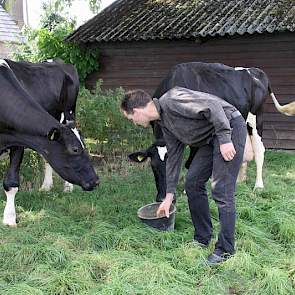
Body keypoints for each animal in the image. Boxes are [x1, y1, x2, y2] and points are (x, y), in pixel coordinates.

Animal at [0, 59, 100, 227]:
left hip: (69, 115)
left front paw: (9, 218)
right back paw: (47, 186)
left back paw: (67, 186)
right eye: (74, 149)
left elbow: (11, 182)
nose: (95, 181)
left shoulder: (19, 139)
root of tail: (57, 61)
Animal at [130, 61, 295, 201]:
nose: (162, 198)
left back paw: (258, 186)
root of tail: (256, 71)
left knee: (259, 150)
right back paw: (240, 181)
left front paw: (187, 189)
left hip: (256, 118)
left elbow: (190, 163)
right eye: (153, 166)